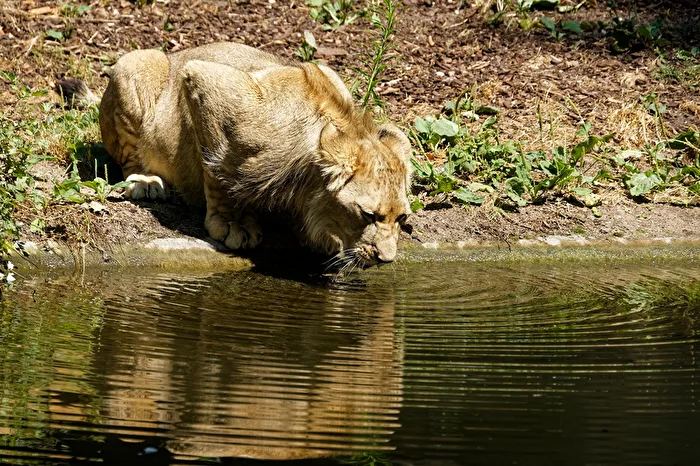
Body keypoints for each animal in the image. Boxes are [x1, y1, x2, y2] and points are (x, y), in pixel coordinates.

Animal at [58, 42, 412, 269]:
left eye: (402, 218)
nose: (386, 260)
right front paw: (233, 222)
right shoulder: (207, 82)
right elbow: (219, 171)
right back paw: (146, 182)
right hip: (136, 65)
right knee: (129, 160)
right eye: (368, 215)